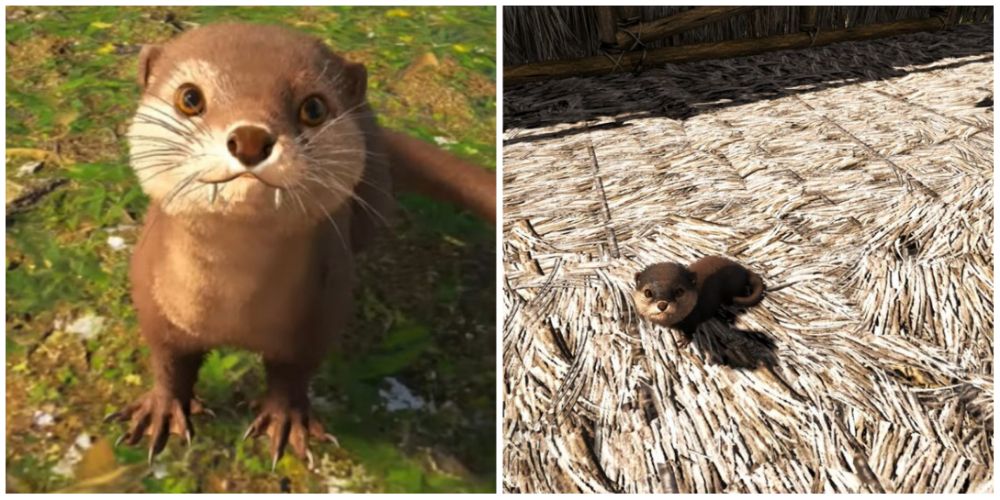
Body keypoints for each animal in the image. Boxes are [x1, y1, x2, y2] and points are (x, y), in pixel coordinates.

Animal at [104, 23, 494, 468]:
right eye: (189, 98)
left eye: (314, 107)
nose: (250, 138)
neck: (234, 312)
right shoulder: (154, 301)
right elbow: (168, 363)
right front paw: (163, 411)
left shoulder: (321, 312)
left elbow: (294, 373)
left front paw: (285, 420)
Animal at [632, 256, 764, 345]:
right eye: (648, 292)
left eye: (679, 291)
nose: (662, 304)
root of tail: (743, 270)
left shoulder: (693, 320)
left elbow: (691, 330)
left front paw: (685, 340)